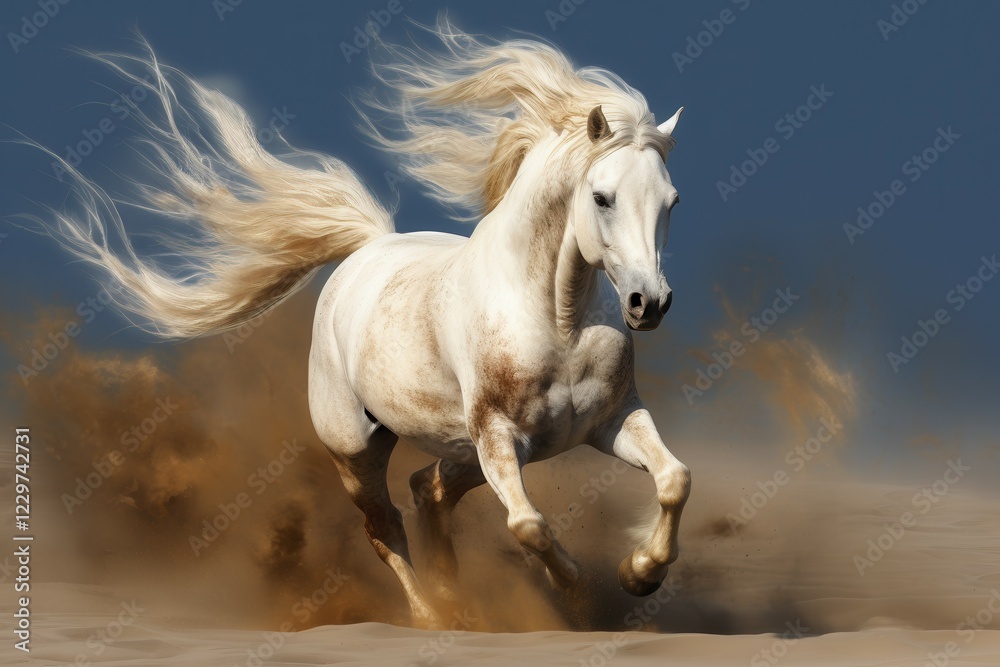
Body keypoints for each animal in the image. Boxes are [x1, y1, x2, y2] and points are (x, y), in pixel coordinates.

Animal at [32, 23, 691, 628]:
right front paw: (579, 590)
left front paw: (640, 574)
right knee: (386, 526)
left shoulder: (610, 420)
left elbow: (674, 479)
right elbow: (528, 524)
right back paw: (433, 616)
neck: (558, 322)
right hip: (360, 451)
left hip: (461, 449)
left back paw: (454, 599)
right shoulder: (499, 437)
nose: (649, 303)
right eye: (602, 197)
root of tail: (369, 247)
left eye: (672, 201)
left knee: (426, 488)